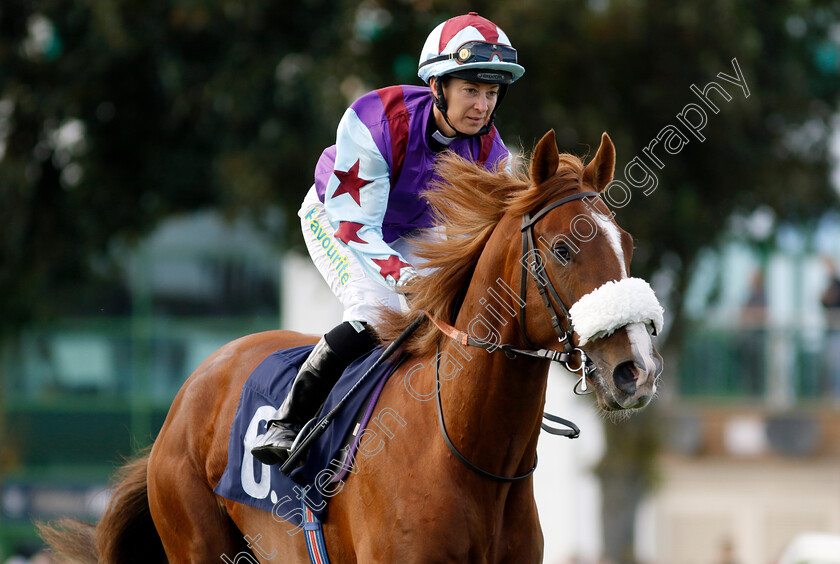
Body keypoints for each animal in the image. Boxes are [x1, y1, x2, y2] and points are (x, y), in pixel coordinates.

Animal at [41, 129, 664, 564]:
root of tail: (193, 385)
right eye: (563, 248)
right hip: (196, 542)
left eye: (629, 243)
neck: (468, 452)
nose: (636, 370)